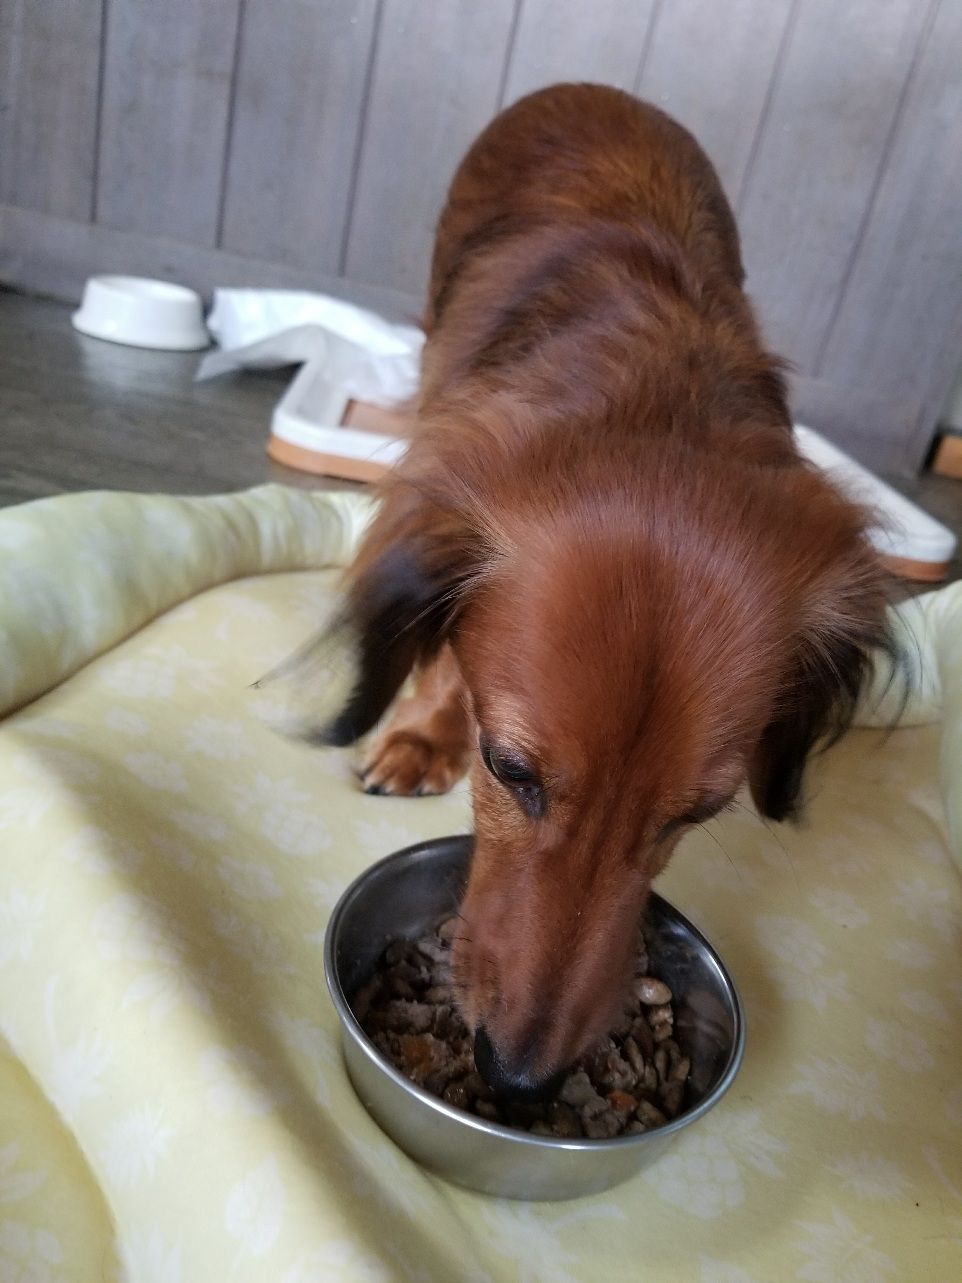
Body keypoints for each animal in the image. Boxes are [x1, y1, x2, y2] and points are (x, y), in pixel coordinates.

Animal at [319, 84, 891, 1096]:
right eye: (509, 770)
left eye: (697, 813)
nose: (519, 1079)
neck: (656, 397)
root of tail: (596, 90)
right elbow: (446, 652)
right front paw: (424, 734)